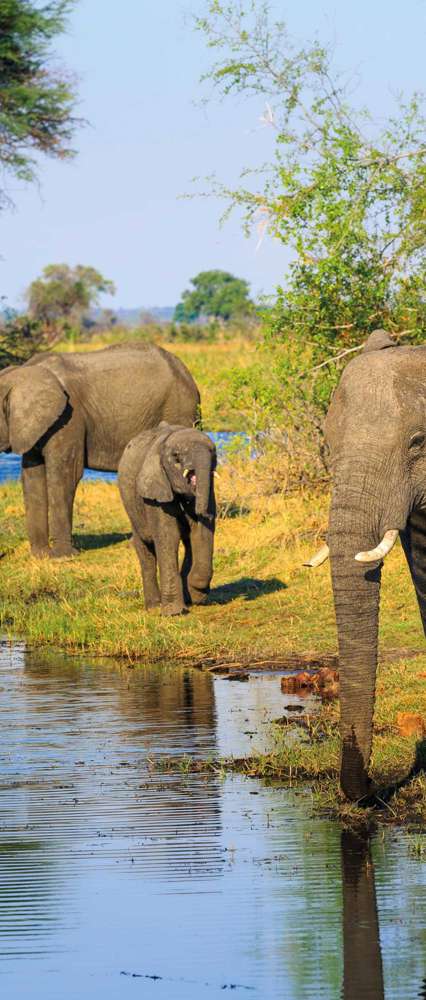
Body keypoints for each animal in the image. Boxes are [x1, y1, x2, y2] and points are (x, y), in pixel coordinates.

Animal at [0, 344, 200, 560]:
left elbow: (66, 475)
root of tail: (185, 371)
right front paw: (42, 556)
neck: (22, 372)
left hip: (179, 410)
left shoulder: (69, 419)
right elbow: (32, 477)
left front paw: (64, 557)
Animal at [117, 420, 215, 612]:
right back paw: (154, 607)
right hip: (133, 510)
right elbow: (168, 535)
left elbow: (200, 532)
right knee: (145, 551)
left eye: (214, 452)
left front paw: (196, 594)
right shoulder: (156, 490)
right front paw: (174, 612)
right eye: (176, 456)